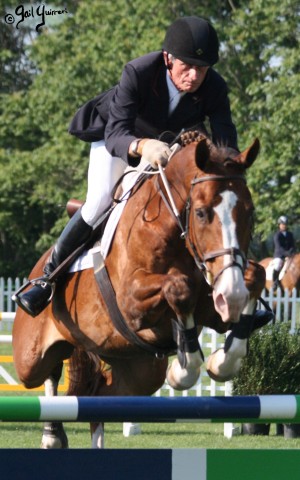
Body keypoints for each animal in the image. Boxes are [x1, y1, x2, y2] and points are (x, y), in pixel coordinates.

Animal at [11, 137, 266, 448]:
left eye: (250, 212)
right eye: (201, 212)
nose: (230, 294)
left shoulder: (213, 305)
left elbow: (255, 277)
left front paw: (221, 361)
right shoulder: (131, 304)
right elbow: (179, 287)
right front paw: (183, 370)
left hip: (138, 370)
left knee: (96, 396)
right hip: (30, 358)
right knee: (48, 371)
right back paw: (51, 436)